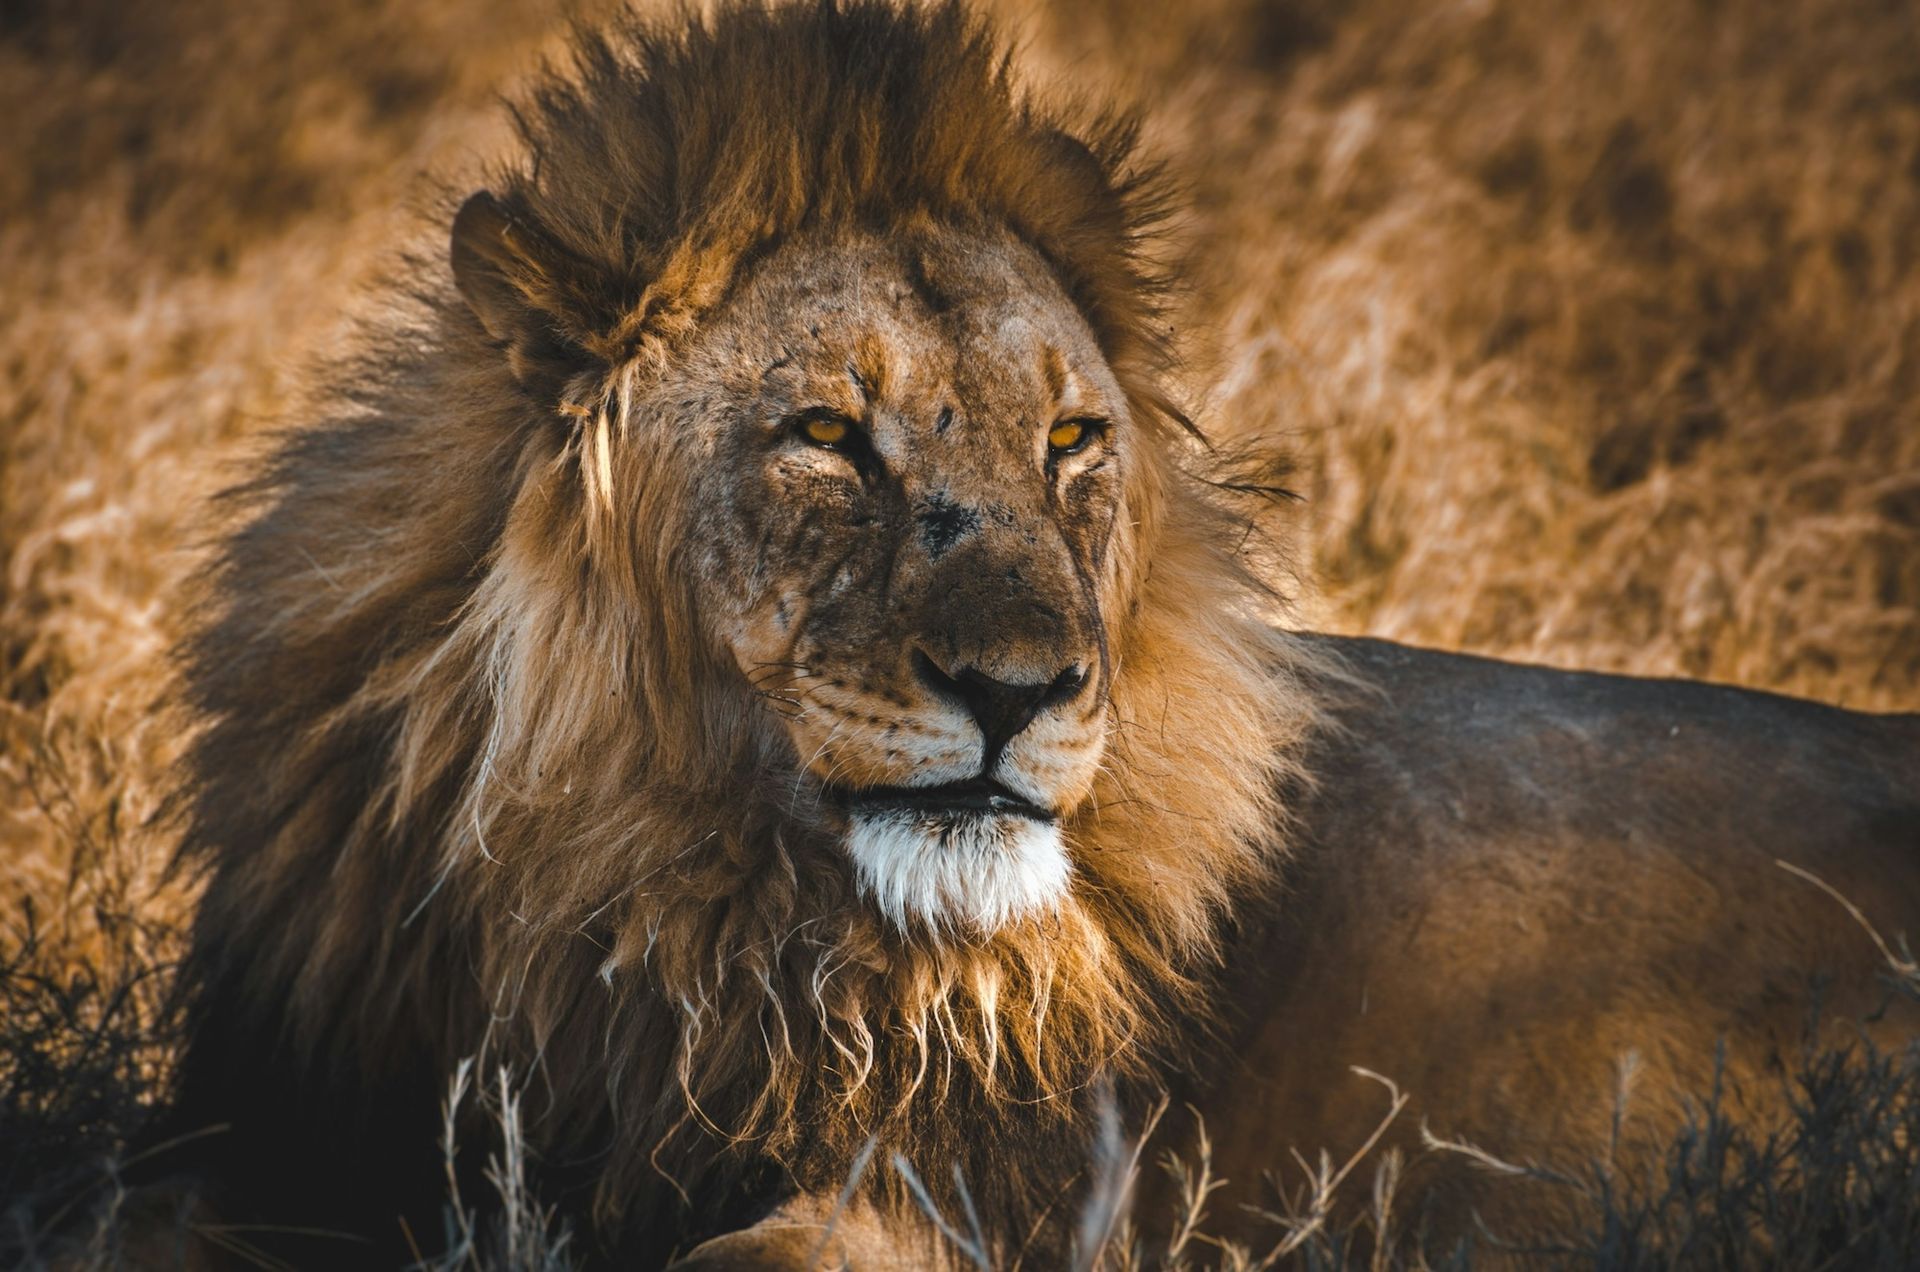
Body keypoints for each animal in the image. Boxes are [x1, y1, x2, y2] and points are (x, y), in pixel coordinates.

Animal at [153, 1, 1920, 1267]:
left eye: (1070, 441)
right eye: (826, 435)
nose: (1027, 691)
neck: (656, 895)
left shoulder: (992, 1193)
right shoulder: (277, 1140)